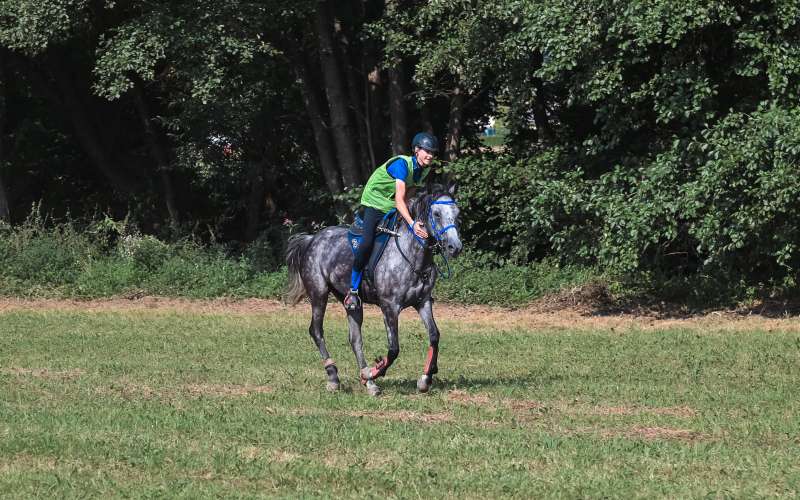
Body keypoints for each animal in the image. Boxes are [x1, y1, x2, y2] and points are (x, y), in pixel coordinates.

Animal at [288, 184, 462, 394]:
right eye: (436, 214)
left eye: (457, 213)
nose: (455, 247)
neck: (412, 257)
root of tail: (312, 239)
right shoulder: (389, 306)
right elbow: (394, 349)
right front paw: (375, 371)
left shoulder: (423, 302)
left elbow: (434, 335)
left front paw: (425, 379)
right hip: (318, 294)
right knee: (316, 331)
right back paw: (335, 377)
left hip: (352, 303)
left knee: (355, 339)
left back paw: (369, 383)